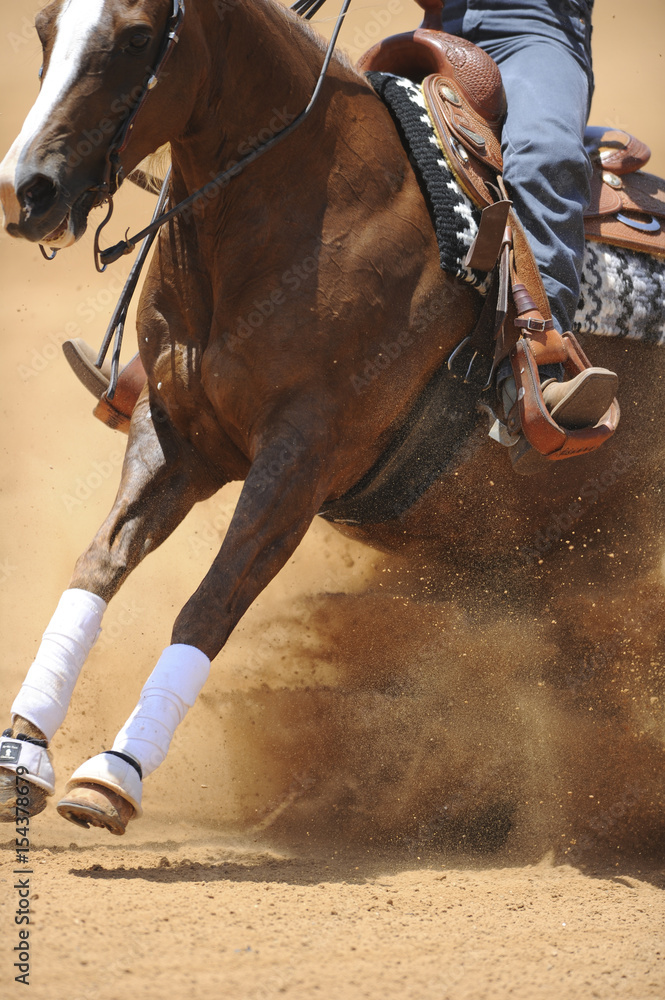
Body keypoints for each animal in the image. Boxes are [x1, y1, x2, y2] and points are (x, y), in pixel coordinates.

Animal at [0, 0, 663, 841]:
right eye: (44, 28)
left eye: (138, 36)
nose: (28, 191)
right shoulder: (173, 437)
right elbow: (99, 565)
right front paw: (23, 749)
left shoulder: (302, 457)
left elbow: (210, 604)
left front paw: (116, 773)